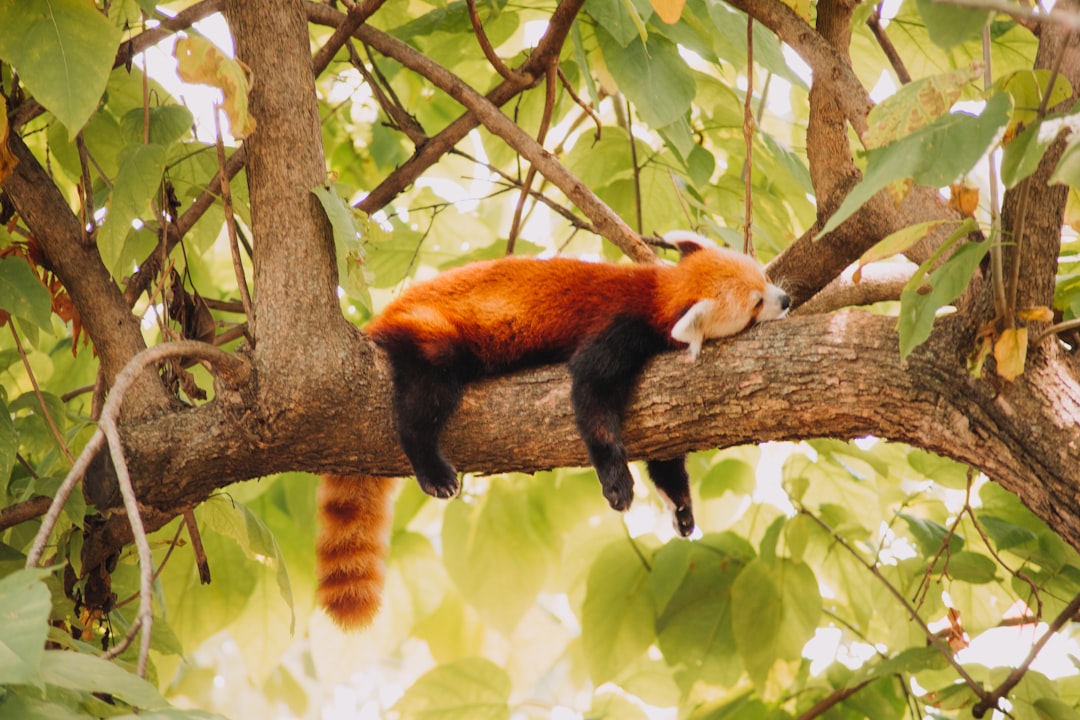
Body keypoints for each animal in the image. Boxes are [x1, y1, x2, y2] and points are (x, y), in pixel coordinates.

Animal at [315, 232, 790, 630]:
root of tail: (384, 317)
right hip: (432, 332)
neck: (660, 291)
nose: (785, 300)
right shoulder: (622, 327)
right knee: (424, 400)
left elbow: (666, 450)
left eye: (764, 278)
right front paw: (617, 482)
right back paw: (431, 467)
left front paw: (680, 508)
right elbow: (591, 393)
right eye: (755, 302)